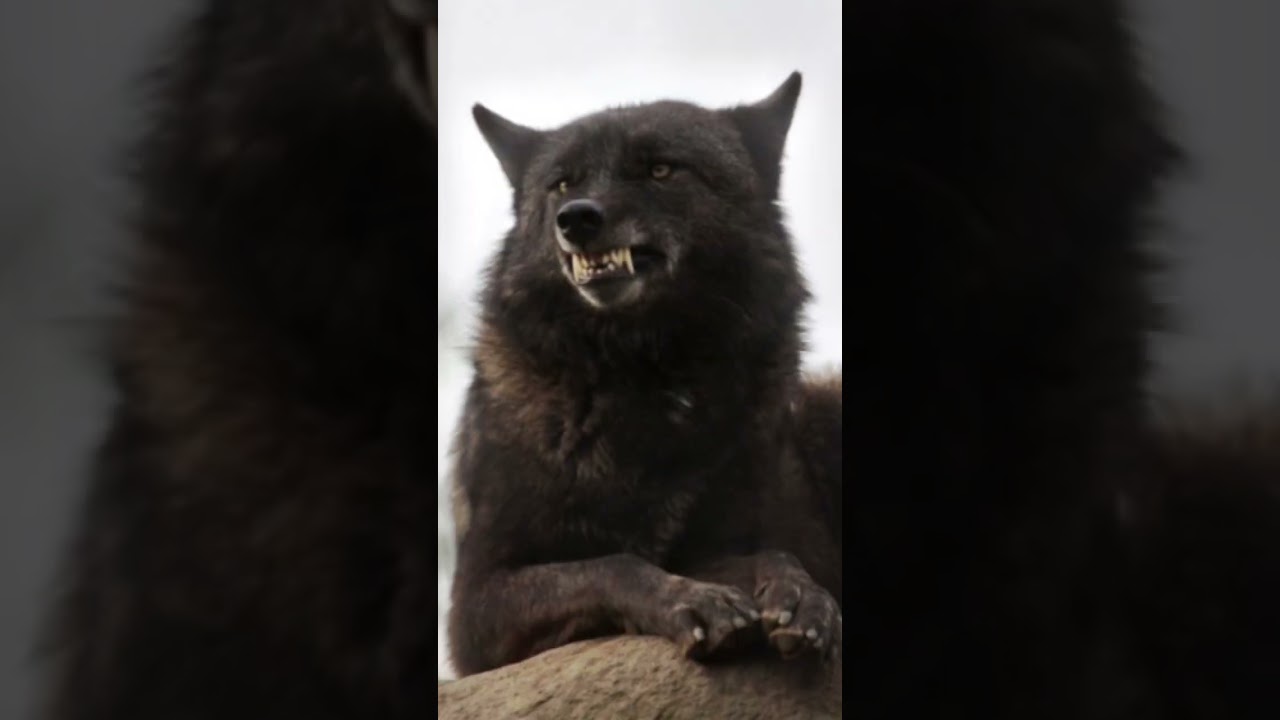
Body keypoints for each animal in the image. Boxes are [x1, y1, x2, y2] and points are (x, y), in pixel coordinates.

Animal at [445, 73, 844, 676]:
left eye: (660, 169)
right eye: (562, 184)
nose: (576, 219)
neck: (645, 376)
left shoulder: (727, 539)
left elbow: (770, 552)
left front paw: (800, 596)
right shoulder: (476, 606)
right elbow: (611, 565)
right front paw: (689, 602)